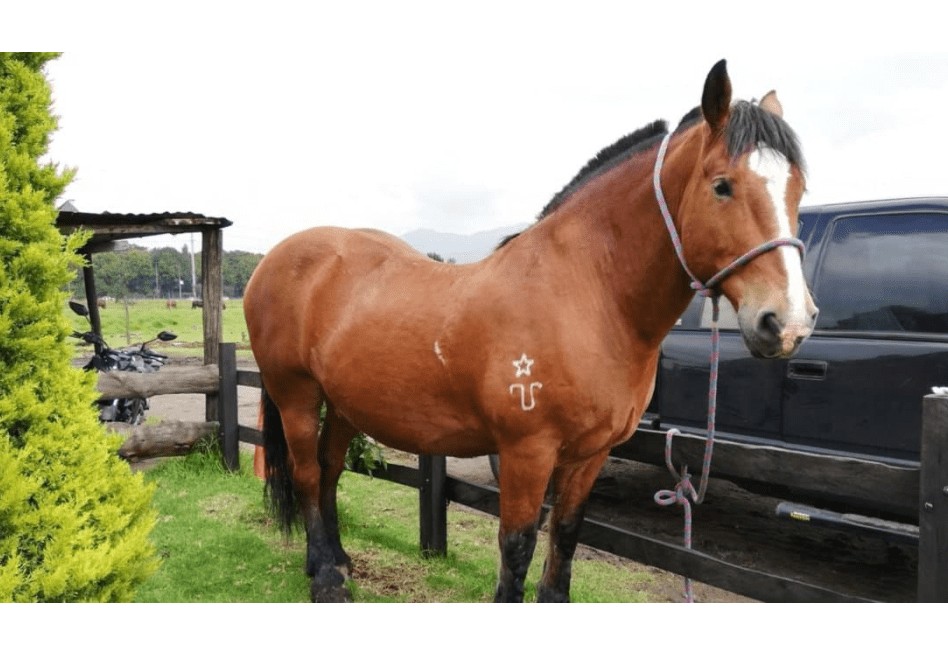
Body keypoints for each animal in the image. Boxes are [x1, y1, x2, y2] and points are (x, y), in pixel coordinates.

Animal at [243, 60, 818, 603]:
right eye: (722, 185)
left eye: (798, 189)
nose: (787, 322)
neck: (585, 296)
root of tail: (277, 258)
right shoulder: (527, 453)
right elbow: (517, 546)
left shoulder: (590, 455)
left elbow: (566, 534)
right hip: (295, 393)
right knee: (308, 474)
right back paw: (326, 579)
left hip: (342, 403)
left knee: (331, 469)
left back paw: (337, 561)